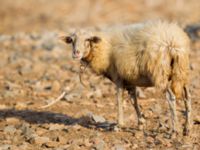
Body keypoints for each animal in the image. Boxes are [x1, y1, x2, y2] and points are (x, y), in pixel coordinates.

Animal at [61, 20, 191, 136]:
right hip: (181, 72)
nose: (76, 53)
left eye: (88, 40)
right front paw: (140, 123)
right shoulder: (130, 81)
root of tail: (173, 42)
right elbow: (134, 101)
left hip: (160, 73)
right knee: (187, 98)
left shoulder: (118, 78)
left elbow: (119, 100)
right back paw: (187, 129)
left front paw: (119, 125)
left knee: (171, 97)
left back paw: (174, 130)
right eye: (71, 40)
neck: (103, 48)